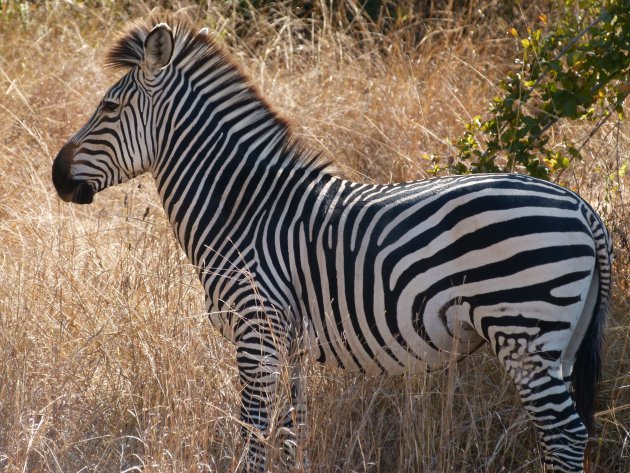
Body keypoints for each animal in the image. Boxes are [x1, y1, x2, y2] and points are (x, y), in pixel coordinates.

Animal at [51, 18, 616, 472]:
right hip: (560, 341)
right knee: (565, 435)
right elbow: (289, 435)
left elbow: (253, 434)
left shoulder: (256, 330)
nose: (56, 176)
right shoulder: (292, 344)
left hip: (525, 329)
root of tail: (581, 207)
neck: (243, 209)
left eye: (110, 107)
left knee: (566, 438)